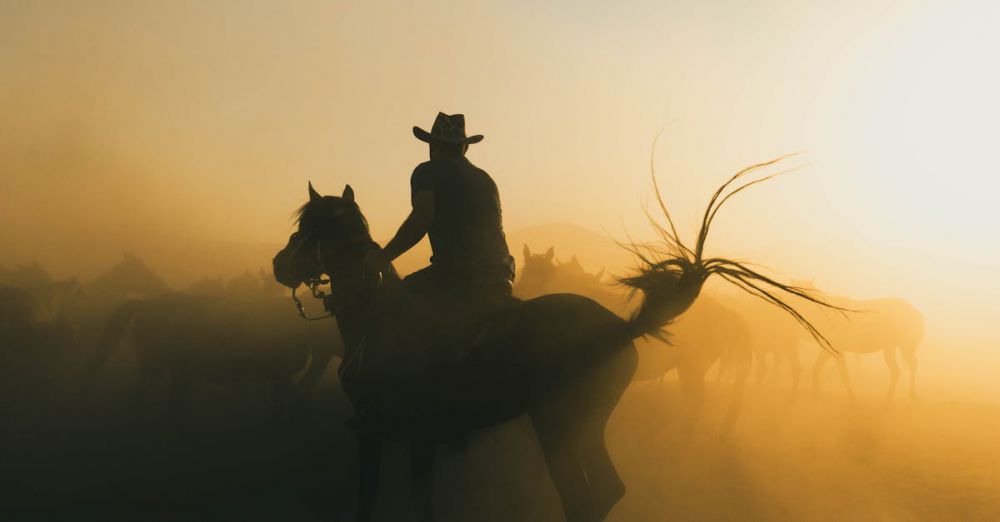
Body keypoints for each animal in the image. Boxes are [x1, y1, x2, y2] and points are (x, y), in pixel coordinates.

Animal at [270, 155, 832, 520]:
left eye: (311, 227)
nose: (279, 264)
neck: (376, 316)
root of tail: (618, 327)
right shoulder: (419, 436)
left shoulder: (373, 430)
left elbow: (369, 501)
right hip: (584, 427)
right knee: (605, 491)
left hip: (558, 425)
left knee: (584, 496)